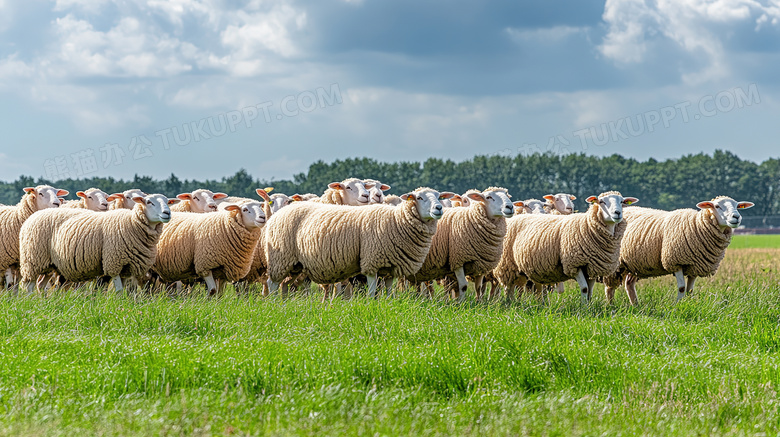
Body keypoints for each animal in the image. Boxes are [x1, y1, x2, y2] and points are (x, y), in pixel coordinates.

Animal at [31, 192, 174, 292]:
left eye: (167, 201)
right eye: (149, 202)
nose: (167, 213)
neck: (132, 223)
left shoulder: (127, 267)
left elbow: (126, 290)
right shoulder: (113, 262)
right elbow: (118, 290)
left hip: (50, 264)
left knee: (41, 284)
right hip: (34, 260)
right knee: (30, 283)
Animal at [266, 186, 454, 296]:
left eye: (438, 196)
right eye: (419, 198)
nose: (439, 208)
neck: (396, 221)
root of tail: (279, 213)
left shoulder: (391, 267)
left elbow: (389, 292)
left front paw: (389, 304)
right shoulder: (371, 262)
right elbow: (371, 291)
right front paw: (372, 306)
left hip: (294, 265)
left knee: (284, 284)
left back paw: (283, 304)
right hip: (280, 258)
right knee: (272, 283)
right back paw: (273, 303)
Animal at [494, 191, 640, 304]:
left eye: (622, 202)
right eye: (602, 202)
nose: (617, 213)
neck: (588, 226)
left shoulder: (592, 267)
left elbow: (590, 291)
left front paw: (589, 306)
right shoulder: (574, 265)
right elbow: (584, 289)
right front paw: (584, 308)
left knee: (530, 287)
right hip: (508, 264)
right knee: (509, 287)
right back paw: (510, 303)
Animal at [600, 197, 752, 304]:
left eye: (737, 206)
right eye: (717, 206)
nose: (736, 217)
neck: (697, 224)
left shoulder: (695, 266)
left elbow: (690, 290)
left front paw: (689, 304)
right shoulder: (675, 261)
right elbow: (682, 288)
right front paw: (678, 305)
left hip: (636, 264)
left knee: (629, 284)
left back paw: (636, 305)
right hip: (616, 263)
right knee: (610, 288)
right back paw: (611, 306)